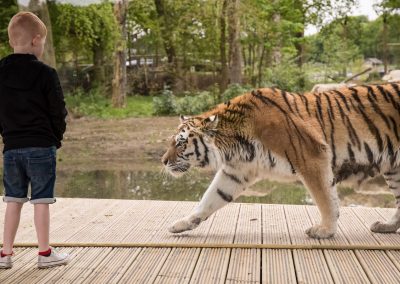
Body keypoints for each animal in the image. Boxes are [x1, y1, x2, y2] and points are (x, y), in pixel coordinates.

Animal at [161, 83, 400, 239]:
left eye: (181, 143)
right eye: (173, 142)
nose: (163, 161)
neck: (233, 143)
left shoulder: (312, 156)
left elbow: (325, 198)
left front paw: (325, 231)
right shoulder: (236, 172)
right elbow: (209, 199)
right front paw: (181, 225)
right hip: (394, 168)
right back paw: (386, 226)